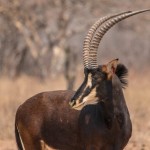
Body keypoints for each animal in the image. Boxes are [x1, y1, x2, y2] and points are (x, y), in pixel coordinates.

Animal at [14, 9, 150, 150]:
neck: (112, 124)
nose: (73, 101)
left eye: (96, 77)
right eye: (85, 75)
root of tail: (20, 108)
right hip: (33, 144)